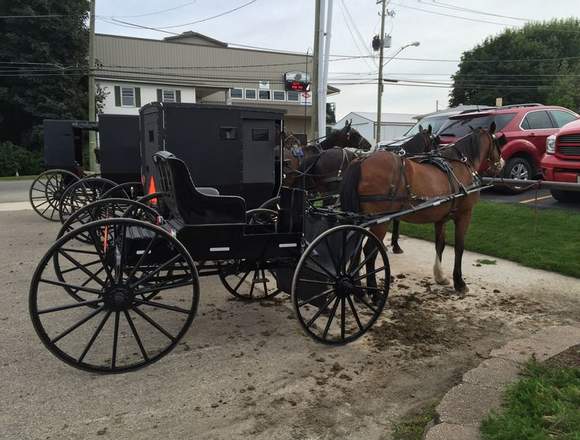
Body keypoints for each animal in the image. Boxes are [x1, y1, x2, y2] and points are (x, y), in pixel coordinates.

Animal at [340, 125, 502, 294]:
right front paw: (459, 282)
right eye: (498, 142)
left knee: (355, 251)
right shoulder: (465, 214)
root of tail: (362, 160)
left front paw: (440, 276)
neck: (461, 165)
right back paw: (373, 291)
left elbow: (440, 244)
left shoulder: (441, 218)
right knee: (369, 251)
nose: (501, 162)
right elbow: (459, 247)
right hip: (379, 221)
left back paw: (357, 289)